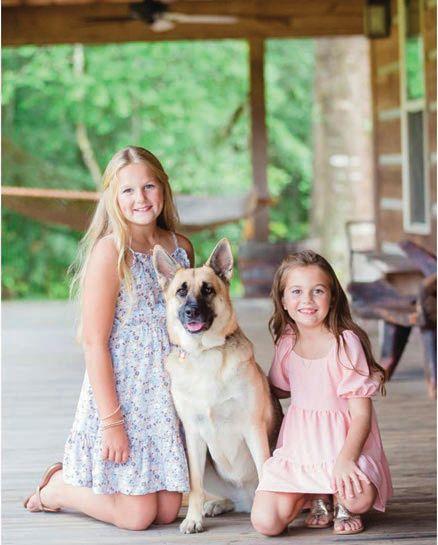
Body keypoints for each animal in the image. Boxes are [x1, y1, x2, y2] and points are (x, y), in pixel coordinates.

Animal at [153, 238, 282, 534]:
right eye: (181, 291)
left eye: (208, 290)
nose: (192, 311)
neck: (204, 354)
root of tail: (245, 500)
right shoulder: (193, 435)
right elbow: (195, 486)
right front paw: (193, 518)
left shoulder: (253, 428)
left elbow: (263, 469)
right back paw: (216, 505)